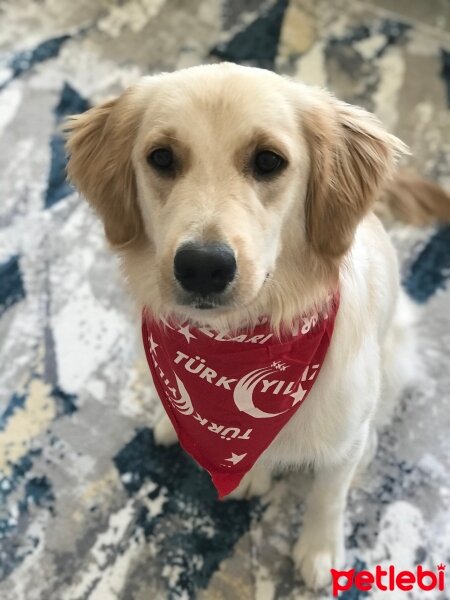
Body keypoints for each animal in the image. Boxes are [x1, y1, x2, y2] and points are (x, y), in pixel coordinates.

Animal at [65, 63, 448, 588]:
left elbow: (329, 494)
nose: (203, 266)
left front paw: (321, 549)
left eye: (268, 161)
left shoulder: (341, 438)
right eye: (161, 157)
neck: (241, 340)